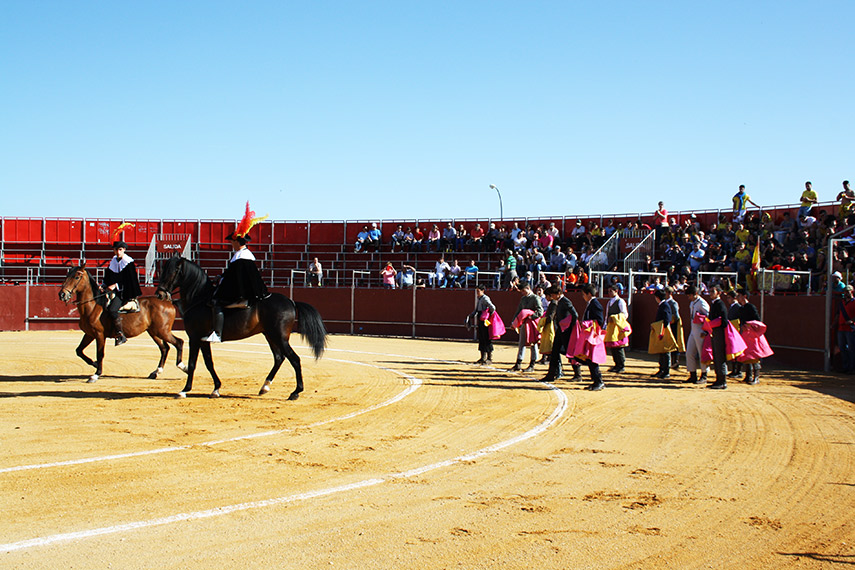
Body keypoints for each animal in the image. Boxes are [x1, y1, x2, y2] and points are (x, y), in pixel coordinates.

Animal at [155, 255, 326, 398]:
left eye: (174, 271)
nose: (160, 294)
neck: (199, 298)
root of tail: (291, 302)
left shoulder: (195, 338)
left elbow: (192, 364)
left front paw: (185, 390)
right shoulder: (203, 340)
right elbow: (209, 363)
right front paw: (216, 388)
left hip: (280, 337)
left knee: (294, 359)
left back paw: (296, 392)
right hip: (270, 336)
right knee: (279, 358)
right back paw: (265, 387)